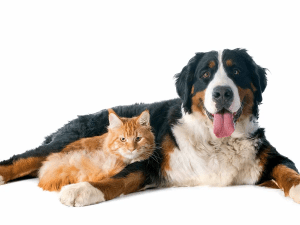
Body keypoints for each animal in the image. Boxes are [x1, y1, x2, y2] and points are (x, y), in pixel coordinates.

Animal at [0, 48, 300, 207]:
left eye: (236, 71)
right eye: (205, 74)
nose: (222, 93)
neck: (215, 141)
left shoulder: (269, 157)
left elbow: (287, 170)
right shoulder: (150, 160)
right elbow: (119, 178)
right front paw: (82, 189)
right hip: (66, 141)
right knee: (19, 160)